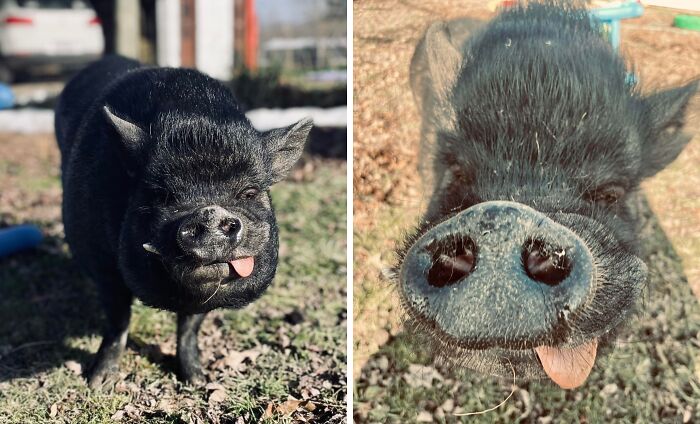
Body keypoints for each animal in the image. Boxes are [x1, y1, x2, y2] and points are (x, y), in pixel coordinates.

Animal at [54, 55, 312, 388]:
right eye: (162, 194)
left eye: (249, 192)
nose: (211, 212)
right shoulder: (100, 262)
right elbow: (117, 320)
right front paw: (98, 383)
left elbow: (189, 326)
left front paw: (198, 381)